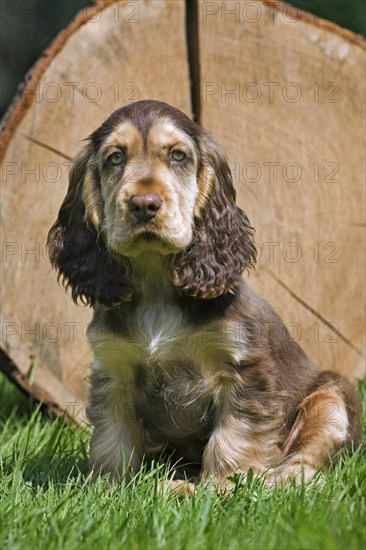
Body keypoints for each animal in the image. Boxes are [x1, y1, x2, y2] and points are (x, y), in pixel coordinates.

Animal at [47, 101, 362, 490]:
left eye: (178, 155)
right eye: (115, 157)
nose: (144, 204)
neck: (157, 287)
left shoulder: (244, 372)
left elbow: (232, 437)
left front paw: (222, 487)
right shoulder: (113, 371)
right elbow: (111, 440)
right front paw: (107, 488)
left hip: (333, 393)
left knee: (313, 456)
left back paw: (282, 478)